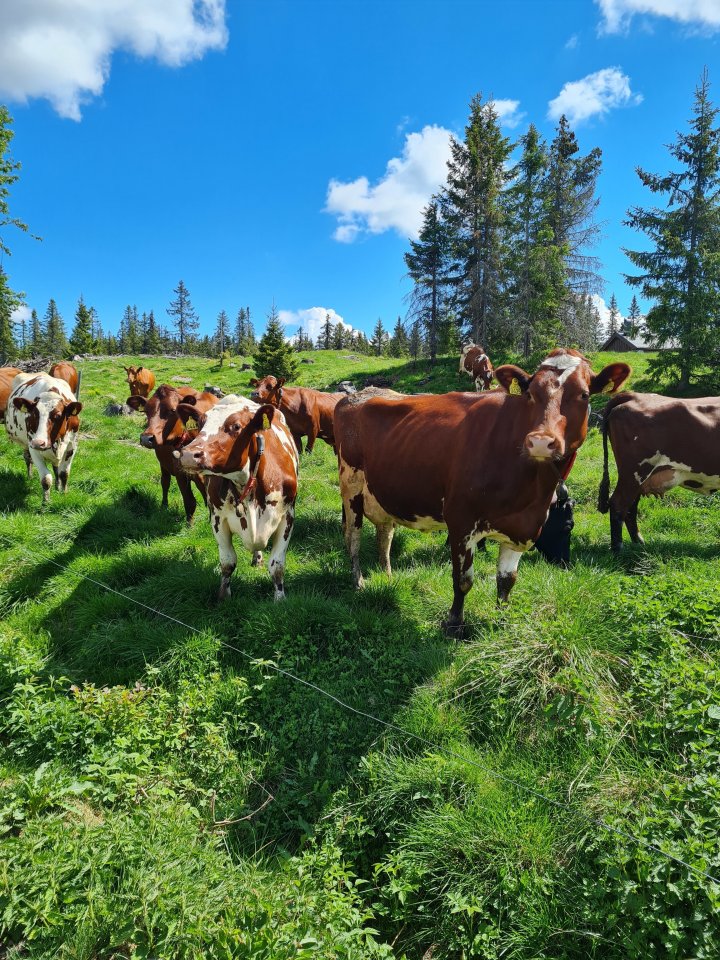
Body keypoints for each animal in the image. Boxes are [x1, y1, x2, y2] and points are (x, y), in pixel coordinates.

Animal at [4, 372, 83, 502]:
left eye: (58, 416)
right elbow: (46, 479)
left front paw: (64, 493)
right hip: (26, 444)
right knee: (27, 458)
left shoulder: (72, 445)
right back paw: (30, 476)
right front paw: (46, 502)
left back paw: (57, 486)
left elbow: (64, 473)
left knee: (56, 467)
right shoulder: (33, 447)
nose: (39, 442)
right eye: (33, 415)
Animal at [125, 384, 219, 524]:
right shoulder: (180, 473)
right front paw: (189, 525)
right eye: (146, 411)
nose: (146, 438)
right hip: (164, 465)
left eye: (173, 410)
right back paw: (164, 506)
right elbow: (189, 501)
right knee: (165, 483)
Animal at [178, 394, 300, 596]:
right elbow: (227, 562)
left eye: (236, 426)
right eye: (201, 423)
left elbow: (277, 566)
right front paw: (223, 596)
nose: (188, 454)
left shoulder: (287, 516)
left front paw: (280, 597)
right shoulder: (217, 518)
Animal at [334, 348, 628, 632]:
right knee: (353, 537)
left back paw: (387, 576)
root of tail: (358, 395)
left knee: (384, 536)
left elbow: (507, 581)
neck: (533, 489)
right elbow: (463, 580)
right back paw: (359, 581)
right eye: (530, 393)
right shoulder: (461, 521)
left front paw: (502, 620)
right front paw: (454, 625)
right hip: (351, 486)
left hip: (381, 494)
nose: (540, 442)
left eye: (584, 394)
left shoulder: (521, 527)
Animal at [596, 390, 720, 552]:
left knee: (630, 507)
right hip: (634, 472)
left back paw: (639, 542)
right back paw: (618, 549)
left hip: (638, 477)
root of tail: (632, 395)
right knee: (619, 504)